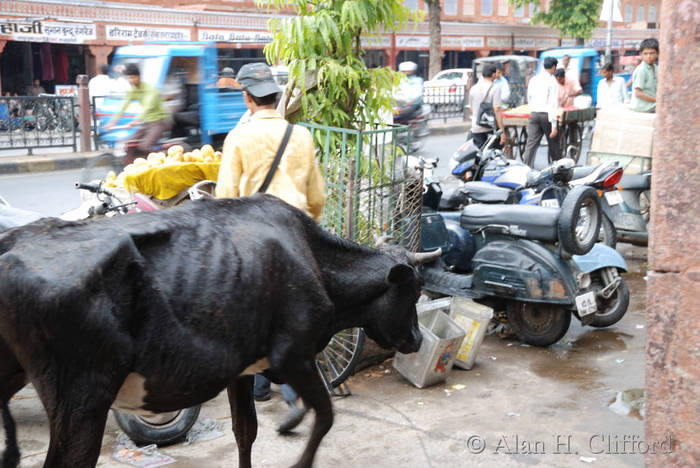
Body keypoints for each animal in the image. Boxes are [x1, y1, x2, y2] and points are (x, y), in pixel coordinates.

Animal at [0, 196, 438, 468]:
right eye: (415, 290)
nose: (418, 340)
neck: (314, 260)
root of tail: (13, 243)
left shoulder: (242, 369)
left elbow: (246, 432)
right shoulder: (293, 356)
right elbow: (327, 416)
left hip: (16, 376)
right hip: (81, 395)